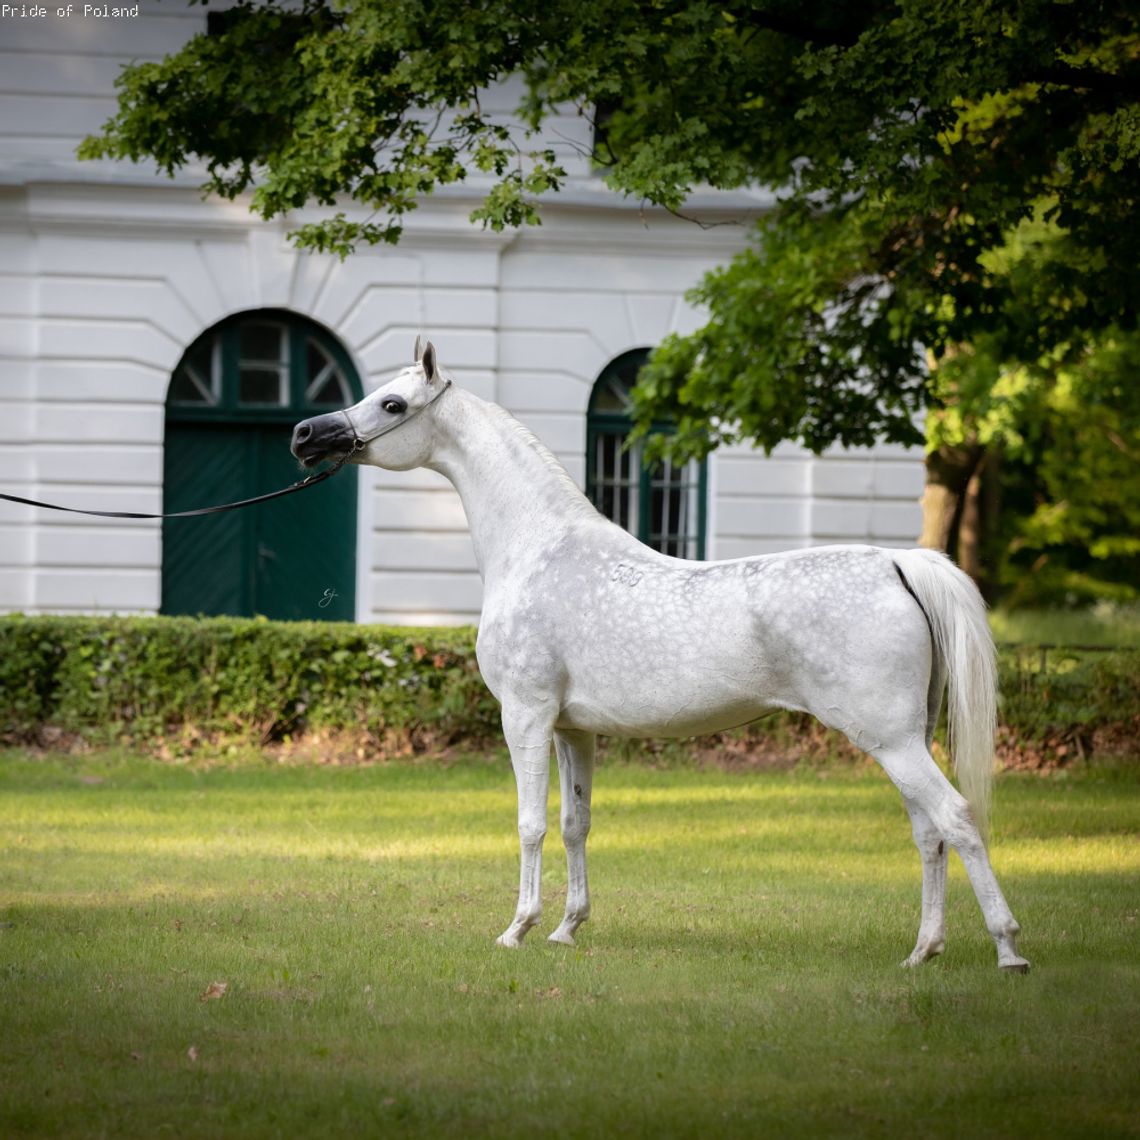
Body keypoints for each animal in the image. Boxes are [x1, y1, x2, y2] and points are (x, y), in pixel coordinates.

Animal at [289, 337, 1030, 971]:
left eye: (391, 404)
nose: (305, 436)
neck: (537, 549)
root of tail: (896, 564)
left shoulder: (525, 716)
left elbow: (530, 824)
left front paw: (518, 929)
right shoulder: (573, 729)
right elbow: (574, 823)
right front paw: (567, 928)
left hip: (891, 739)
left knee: (958, 819)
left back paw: (1007, 949)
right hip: (906, 738)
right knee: (929, 833)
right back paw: (922, 951)